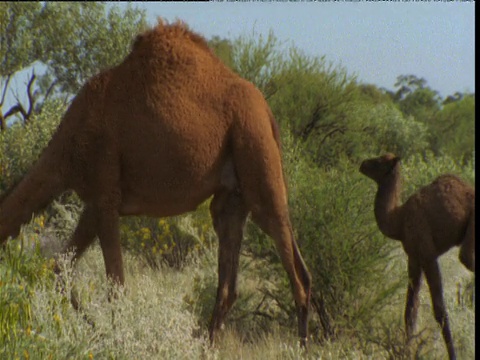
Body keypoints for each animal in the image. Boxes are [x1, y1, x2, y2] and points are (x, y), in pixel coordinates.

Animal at [358, 153, 474, 360]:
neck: (399, 219)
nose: (363, 164)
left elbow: (440, 310)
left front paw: (453, 355)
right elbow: (410, 309)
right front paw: (405, 351)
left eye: (379, 161)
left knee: (466, 257)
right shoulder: (413, 258)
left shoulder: (428, 255)